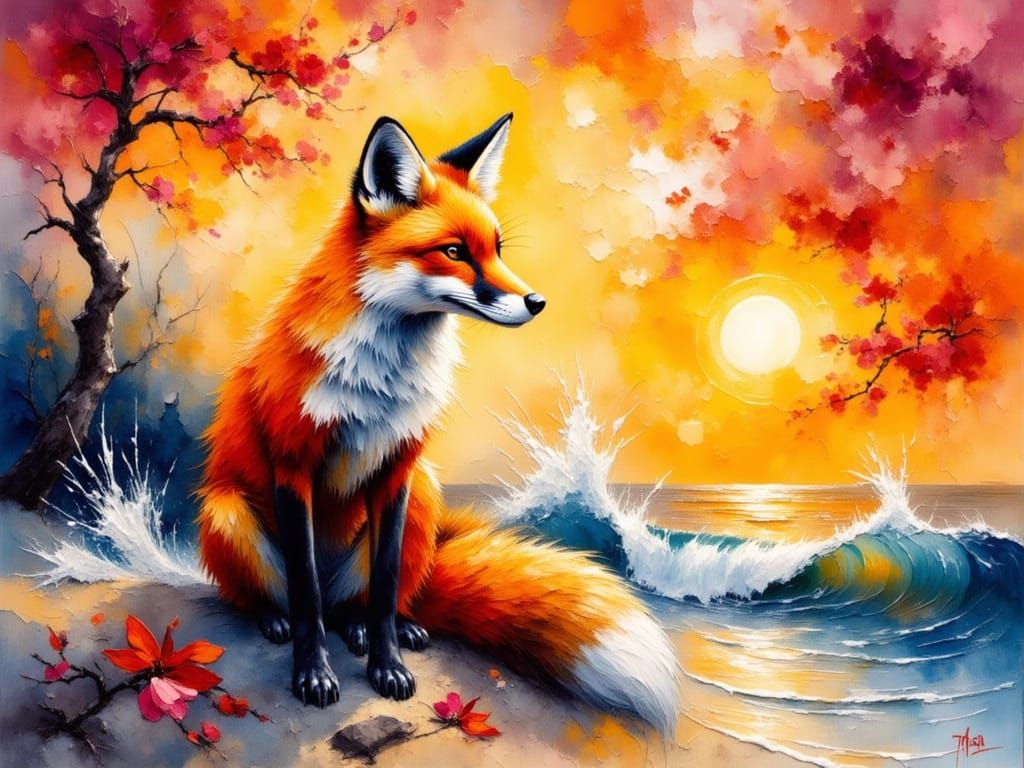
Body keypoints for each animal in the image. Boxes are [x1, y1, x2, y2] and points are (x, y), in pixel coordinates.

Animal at [195, 114, 680, 732]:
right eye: (453, 251)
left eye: (495, 249)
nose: (537, 301)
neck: (377, 384)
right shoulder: (293, 466)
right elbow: (305, 597)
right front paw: (314, 675)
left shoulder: (399, 469)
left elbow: (382, 593)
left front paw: (386, 666)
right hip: (227, 511)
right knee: (291, 601)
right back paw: (274, 620)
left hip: (425, 493)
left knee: (367, 603)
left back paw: (379, 627)